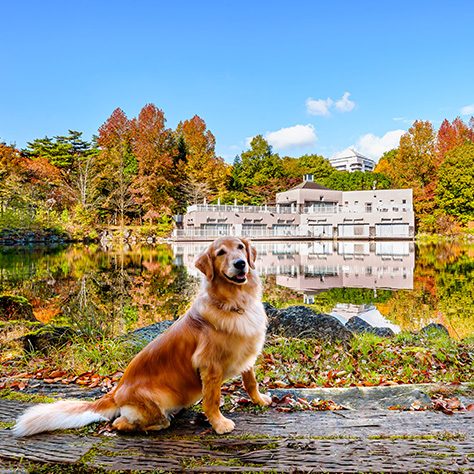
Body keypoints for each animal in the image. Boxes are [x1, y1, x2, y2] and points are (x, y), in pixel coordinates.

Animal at [13, 237, 270, 436]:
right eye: (220, 253)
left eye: (240, 247)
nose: (241, 264)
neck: (235, 303)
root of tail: (115, 391)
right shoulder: (210, 365)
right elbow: (213, 399)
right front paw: (219, 424)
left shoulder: (246, 352)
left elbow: (251, 381)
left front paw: (259, 399)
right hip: (156, 398)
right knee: (119, 423)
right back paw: (159, 423)